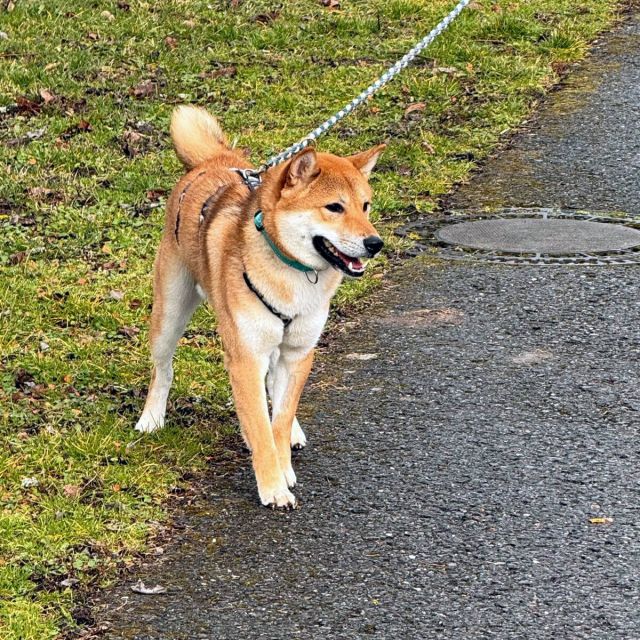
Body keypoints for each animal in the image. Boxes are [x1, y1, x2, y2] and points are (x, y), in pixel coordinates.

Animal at [136, 107, 384, 510]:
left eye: (366, 206)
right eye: (334, 207)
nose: (375, 243)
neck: (293, 273)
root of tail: (214, 160)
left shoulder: (299, 353)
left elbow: (277, 421)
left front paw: (282, 462)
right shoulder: (245, 356)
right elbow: (260, 423)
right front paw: (272, 486)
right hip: (170, 313)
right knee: (164, 370)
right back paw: (152, 418)